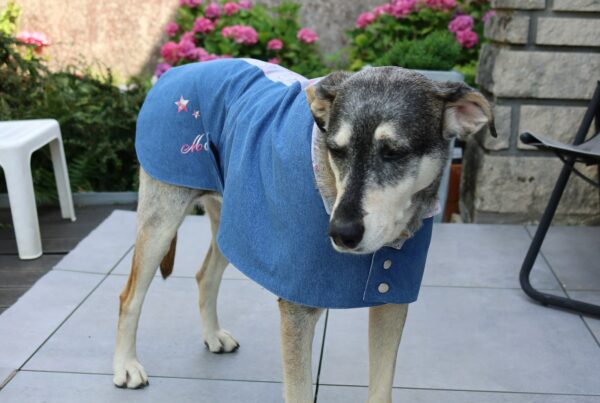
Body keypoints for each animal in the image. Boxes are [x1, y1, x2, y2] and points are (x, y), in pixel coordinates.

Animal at [113, 57, 496, 403]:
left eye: (394, 152)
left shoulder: (391, 300)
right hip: (162, 221)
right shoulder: (297, 313)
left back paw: (213, 335)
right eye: (336, 150)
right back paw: (127, 366)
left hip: (233, 224)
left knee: (205, 276)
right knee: (129, 297)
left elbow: (381, 388)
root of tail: (175, 71)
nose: (340, 232)